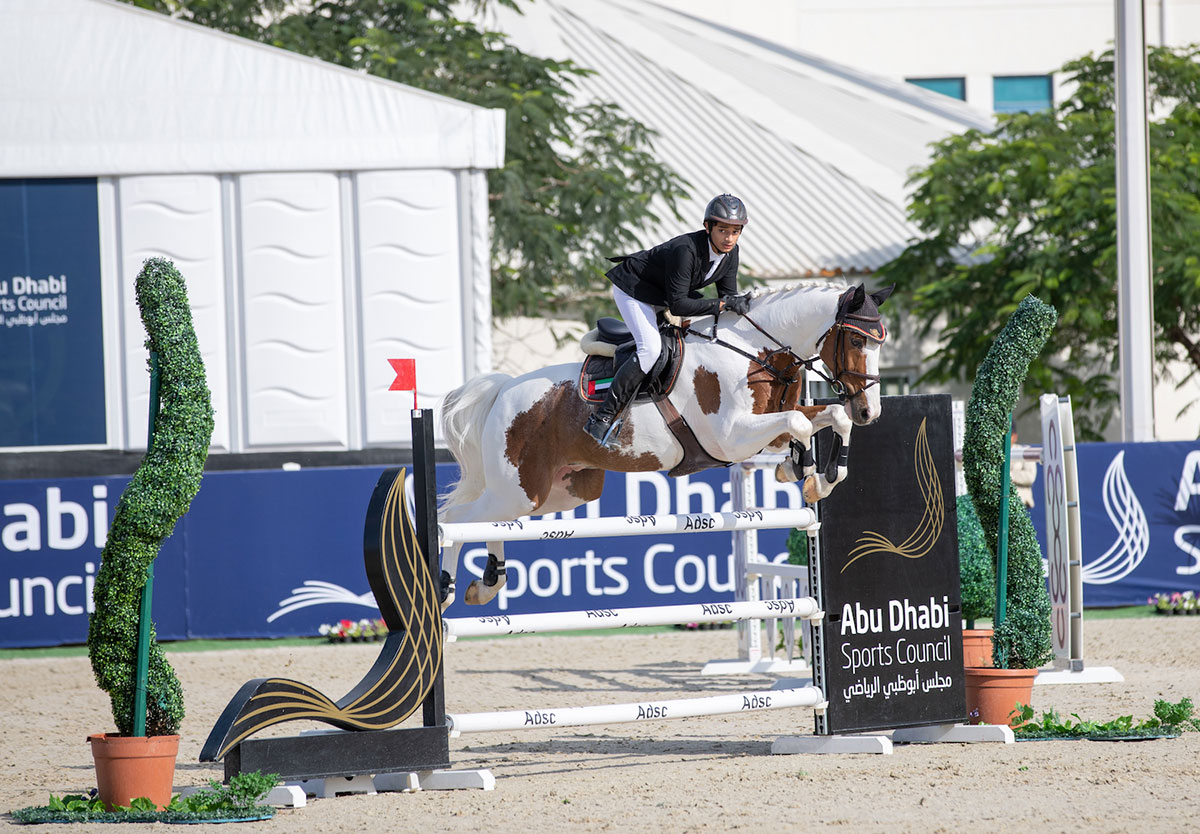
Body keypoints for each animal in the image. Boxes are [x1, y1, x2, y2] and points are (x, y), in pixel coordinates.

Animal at [436, 282, 888, 607]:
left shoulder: (768, 428)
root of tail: (502, 391)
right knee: (458, 520)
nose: (871, 411)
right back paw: (446, 586)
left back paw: (488, 583)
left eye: (879, 343)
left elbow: (829, 417)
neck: (754, 351)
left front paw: (816, 475)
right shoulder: (732, 438)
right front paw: (806, 472)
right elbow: (799, 422)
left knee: (492, 522)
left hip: (559, 492)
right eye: (855, 341)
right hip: (520, 488)